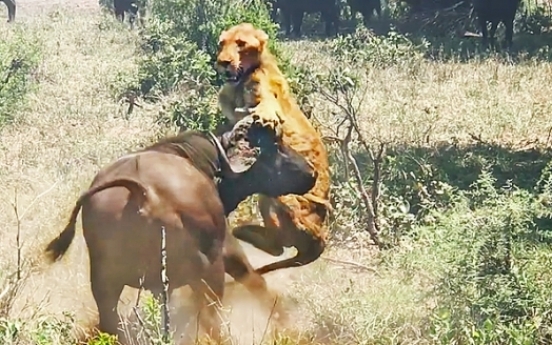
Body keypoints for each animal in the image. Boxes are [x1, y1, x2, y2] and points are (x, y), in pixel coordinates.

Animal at [45, 116, 316, 344]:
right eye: (276, 145)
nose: (311, 172)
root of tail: (144, 194)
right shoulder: (228, 250)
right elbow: (257, 283)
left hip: (106, 285)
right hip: (208, 272)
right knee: (212, 318)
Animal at [213, 22, 330, 274]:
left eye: (241, 43)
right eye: (222, 43)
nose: (223, 62)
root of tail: (322, 234)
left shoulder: (265, 97)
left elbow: (266, 110)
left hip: (280, 194)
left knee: (280, 245)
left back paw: (243, 231)